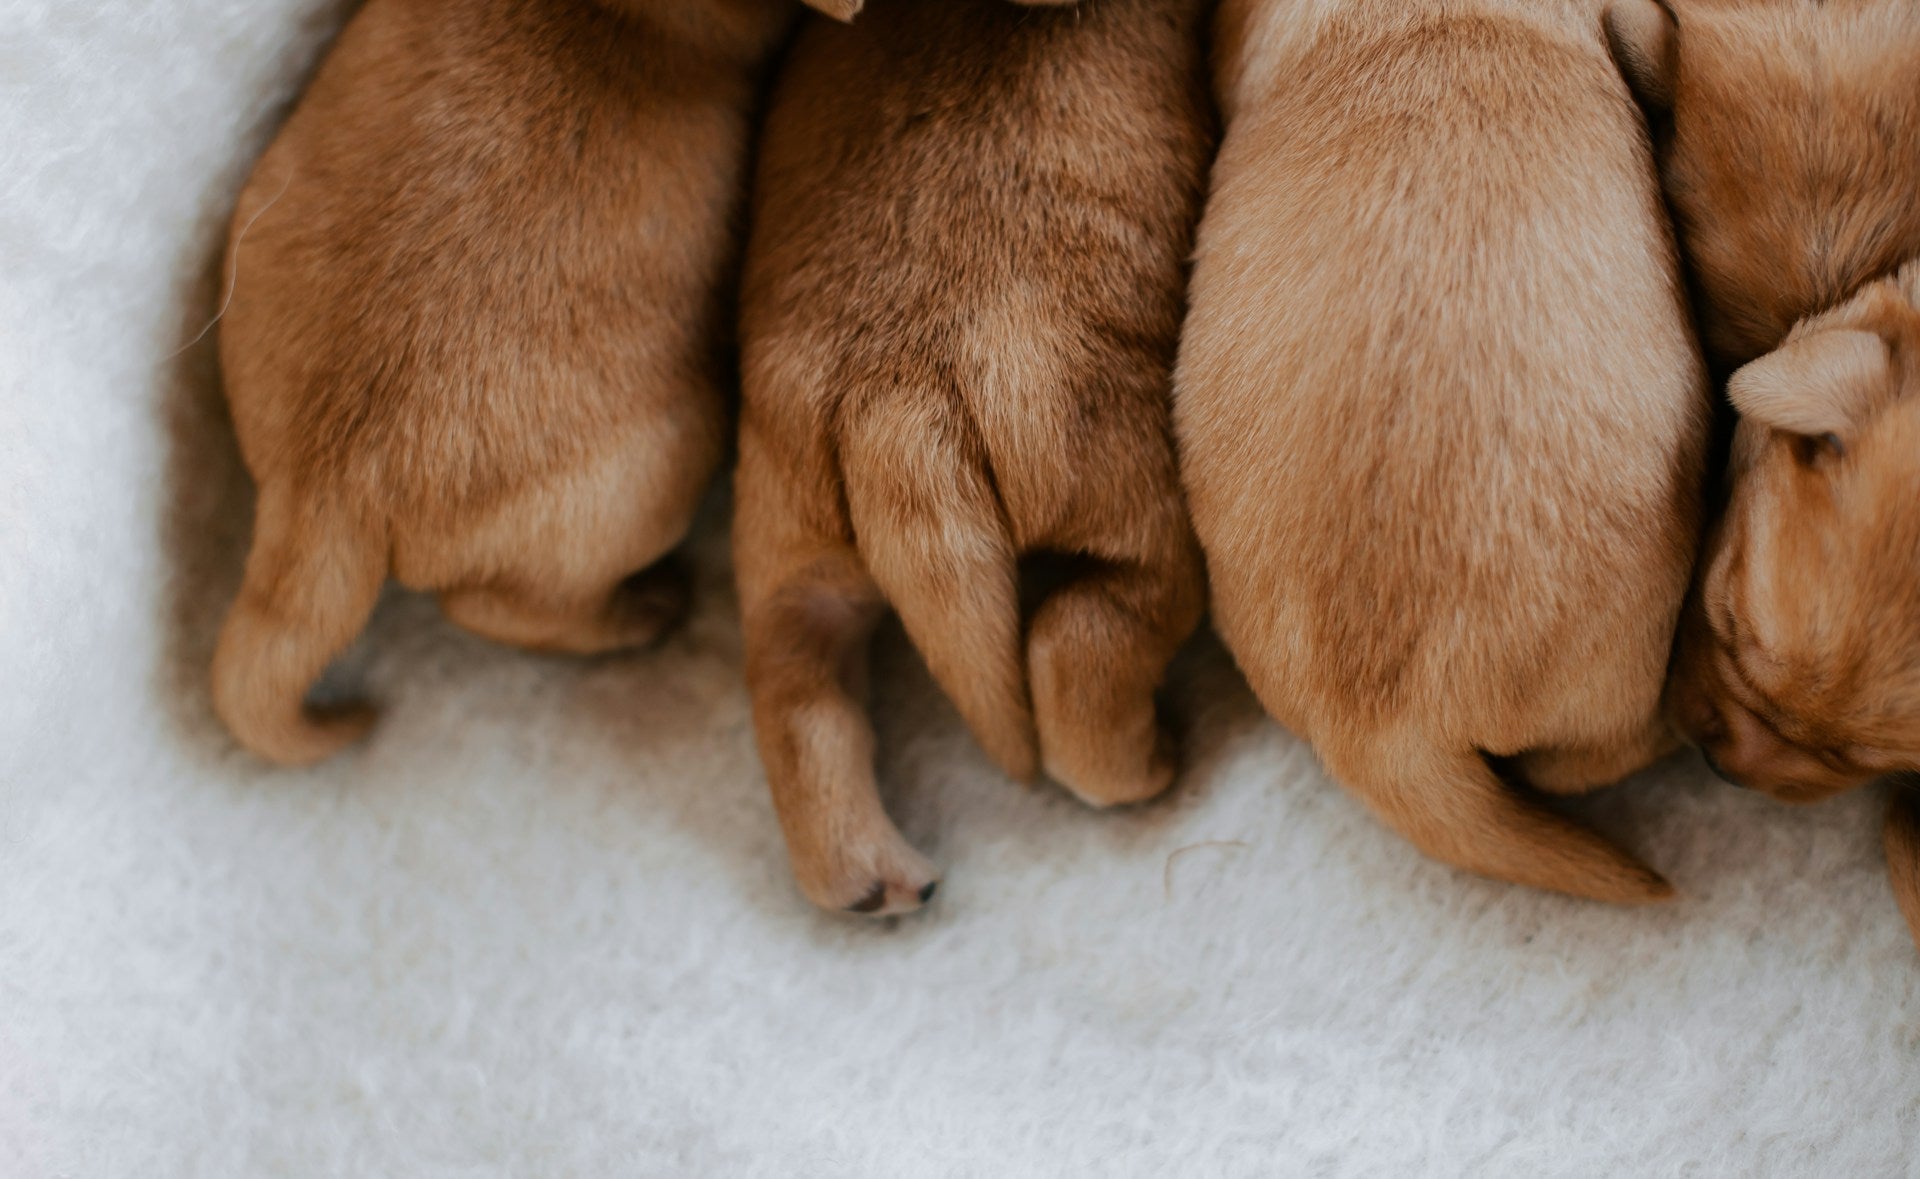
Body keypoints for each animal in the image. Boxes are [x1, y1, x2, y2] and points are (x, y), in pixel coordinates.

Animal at [729, 0, 1198, 917]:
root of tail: (897, 404)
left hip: (786, 551)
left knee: (798, 696)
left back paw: (872, 877)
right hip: (1134, 510)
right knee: (1083, 651)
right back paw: (1153, 757)